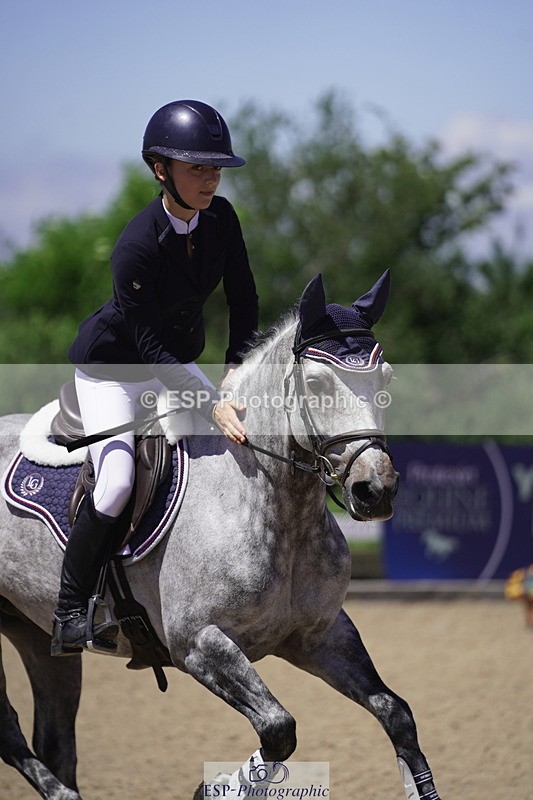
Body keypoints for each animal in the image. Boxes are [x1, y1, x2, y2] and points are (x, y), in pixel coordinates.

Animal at [0, 270, 442, 800]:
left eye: (386, 379)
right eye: (316, 382)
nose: (374, 490)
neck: (273, 505)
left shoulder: (320, 635)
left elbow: (396, 714)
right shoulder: (198, 644)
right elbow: (278, 728)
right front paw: (219, 787)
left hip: (36, 634)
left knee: (54, 737)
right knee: (9, 731)